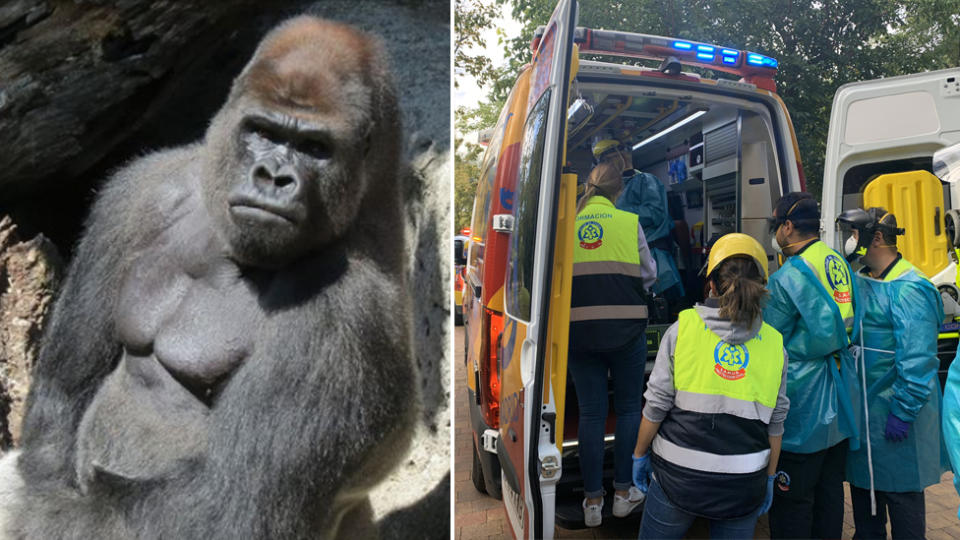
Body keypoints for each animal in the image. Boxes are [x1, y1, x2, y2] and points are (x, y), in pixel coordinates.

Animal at [0, 16, 414, 540]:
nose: (272, 176)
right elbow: (58, 409)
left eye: (315, 148)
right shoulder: (140, 191)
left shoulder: (345, 315)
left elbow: (229, 507)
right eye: (261, 131)